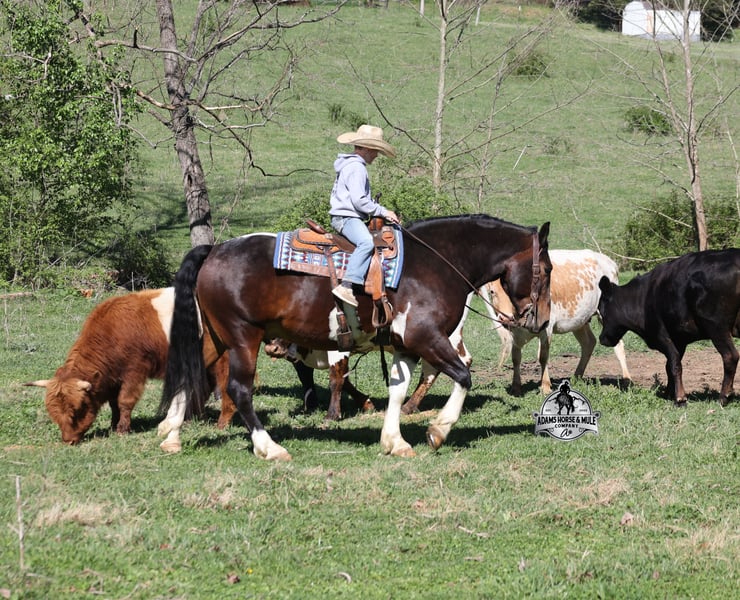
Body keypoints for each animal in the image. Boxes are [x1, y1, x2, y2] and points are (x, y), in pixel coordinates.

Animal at [26, 288, 231, 444]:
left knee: (226, 389)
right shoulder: (112, 379)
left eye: (78, 410)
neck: (111, 333)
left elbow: (124, 401)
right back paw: (193, 418)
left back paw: (221, 424)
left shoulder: (135, 372)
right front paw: (113, 425)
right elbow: (114, 404)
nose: (68, 440)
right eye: (53, 413)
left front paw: (122, 429)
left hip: (224, 361)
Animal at [156, 215, 552, 459]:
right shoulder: (425, 338)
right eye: (546, 269)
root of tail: (215, 249)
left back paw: (172, 435)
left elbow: (397, 391)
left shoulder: (405, 346)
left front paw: (394, 441)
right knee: (239, 390)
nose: (542, 319)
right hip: (243, 338)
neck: (436, 263)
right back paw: (270, 448)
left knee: (191, 376)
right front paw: (438, 432)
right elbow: (464, 377)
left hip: (216, 337)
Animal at [598, 249, 740, 406]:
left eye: (601, 310)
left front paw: (680, 398)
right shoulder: (679, 339)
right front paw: (668, 393)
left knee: (730, 356)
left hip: (716, 326)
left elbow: (674, 364)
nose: (601, 338)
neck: (643, 298)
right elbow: (669, 366)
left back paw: (724, 397)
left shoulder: (662, 335)